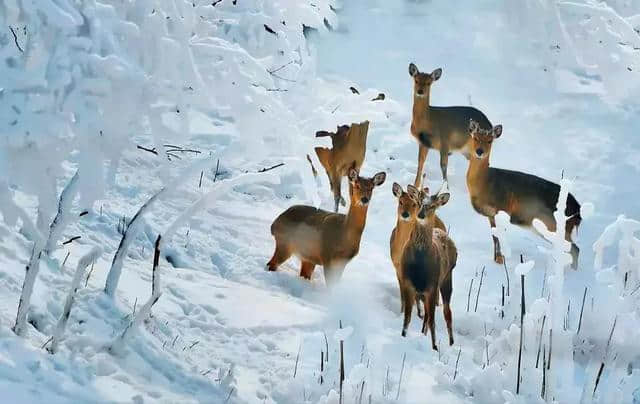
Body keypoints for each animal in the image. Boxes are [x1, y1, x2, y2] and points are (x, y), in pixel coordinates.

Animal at [390, 183, 444, 318]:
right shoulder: (398, 268)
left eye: (414, 204)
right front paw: (402, 311)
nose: (405, 214)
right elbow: (403, 296)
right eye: (400, 201)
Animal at [398, 189, 458, 350]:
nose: (421, 214)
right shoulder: (408, 283)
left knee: (446, 312)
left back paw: (451, 343)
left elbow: (432, 320)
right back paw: (423, 335)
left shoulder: (432, 285)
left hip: (446, 279)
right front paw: (403, 336)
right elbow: (407, 316)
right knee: (426, 315)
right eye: (418, 201)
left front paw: (435, 347)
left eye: (433, 205)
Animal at [468, 120, 584, 270]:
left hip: (555, 224)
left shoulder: (502, 209)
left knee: (574, 248)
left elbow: (499, 237)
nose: (479, 151)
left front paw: (500, 260)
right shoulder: (490, 214)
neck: (485, 183)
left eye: (489, 140)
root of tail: (578, 210)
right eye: (475, 138)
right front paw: (495, 259)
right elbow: (494, 238)